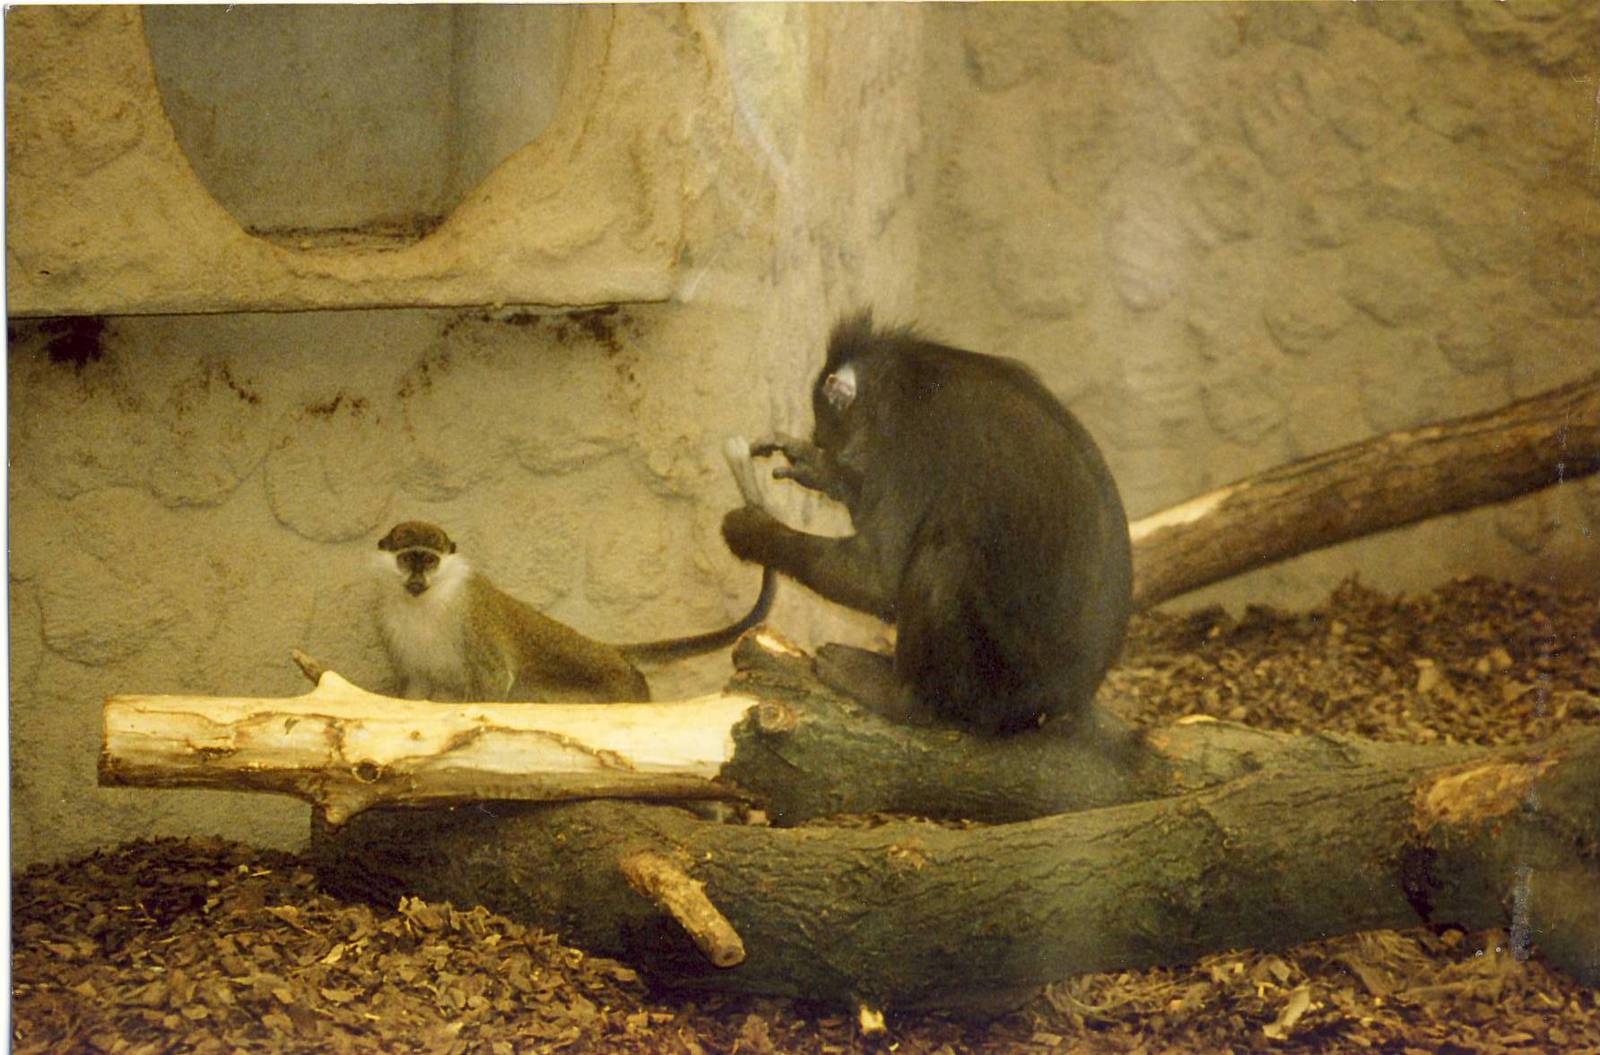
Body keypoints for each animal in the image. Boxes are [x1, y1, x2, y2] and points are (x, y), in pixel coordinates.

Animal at [375, 517, 776, 704]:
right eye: (407, 558)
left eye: (429, 559)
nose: (416, 578)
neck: (428, 602)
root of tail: (611, 653)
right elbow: (417, 686)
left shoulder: (472, 614)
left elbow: (493, 679)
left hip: (623, 690)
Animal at [720, 311, 1133, 735]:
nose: (827, 448)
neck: (907, 376)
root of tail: (1066, 703)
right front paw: (817, 468)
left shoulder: (906, 441)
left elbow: (878, 578)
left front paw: (752, 532)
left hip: (998, 690)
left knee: (944, 558)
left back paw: (904, 698)